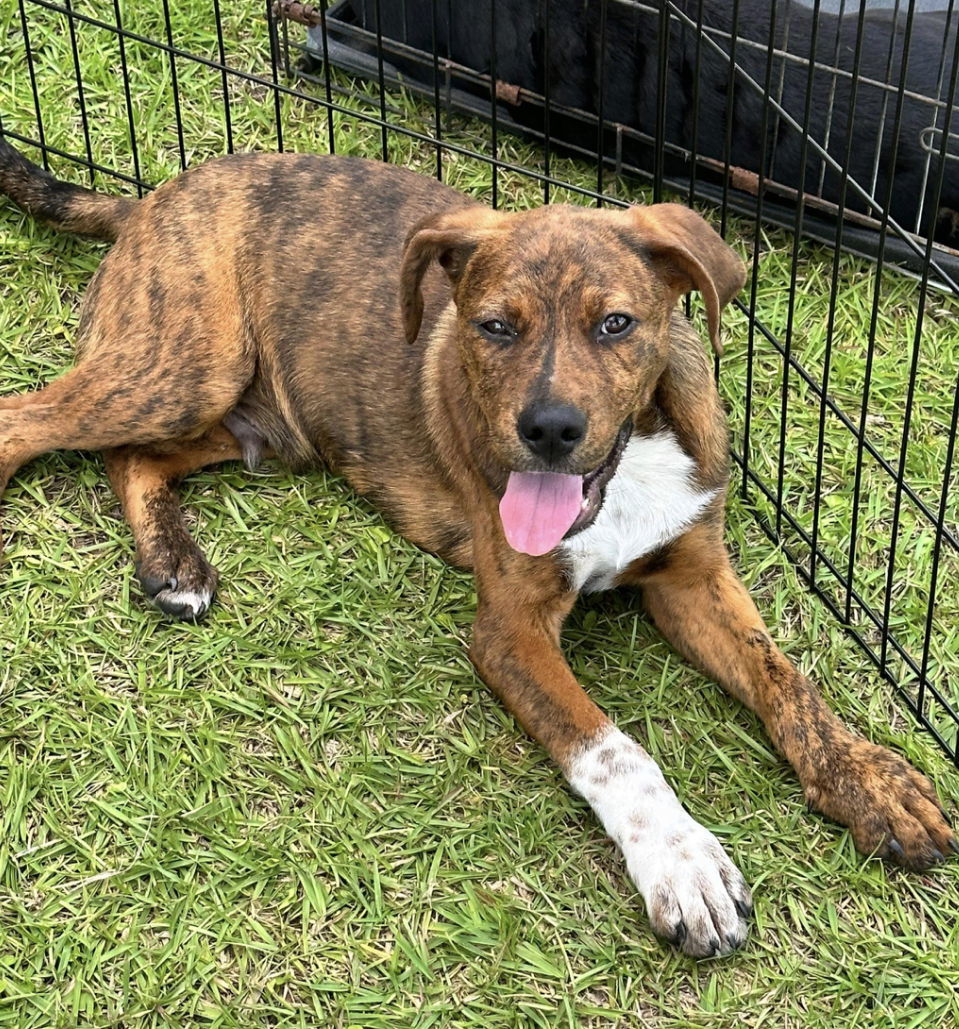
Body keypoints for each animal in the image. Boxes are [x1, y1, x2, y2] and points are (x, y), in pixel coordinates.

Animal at [0, 140, 954, 959]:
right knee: (29, 420)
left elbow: (784, 677)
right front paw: (682, 863)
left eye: (616, 324)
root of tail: (153, 198)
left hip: (254, 418)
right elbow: (612, 748)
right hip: (184, 364)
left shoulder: (693, 575)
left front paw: (868, 778)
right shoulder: (509, 630)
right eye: (494, 327)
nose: (550, 430)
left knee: (136, 456)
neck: (631, 459)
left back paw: (174, 563)